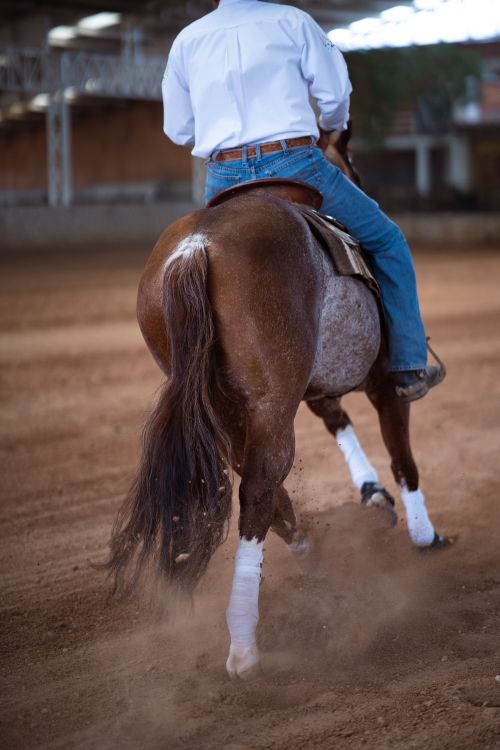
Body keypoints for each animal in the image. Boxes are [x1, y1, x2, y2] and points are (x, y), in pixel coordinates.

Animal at [104, 132, 449, 679]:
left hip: (229, 411)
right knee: (260, 487)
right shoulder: (383, 384)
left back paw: (309, 560)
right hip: (271, 405)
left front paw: (372, 492)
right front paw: (424, 533)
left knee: (264, 486)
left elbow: (337, 421)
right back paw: (244, 645)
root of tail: (196, 248)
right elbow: (403, 457)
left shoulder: (315, 388)